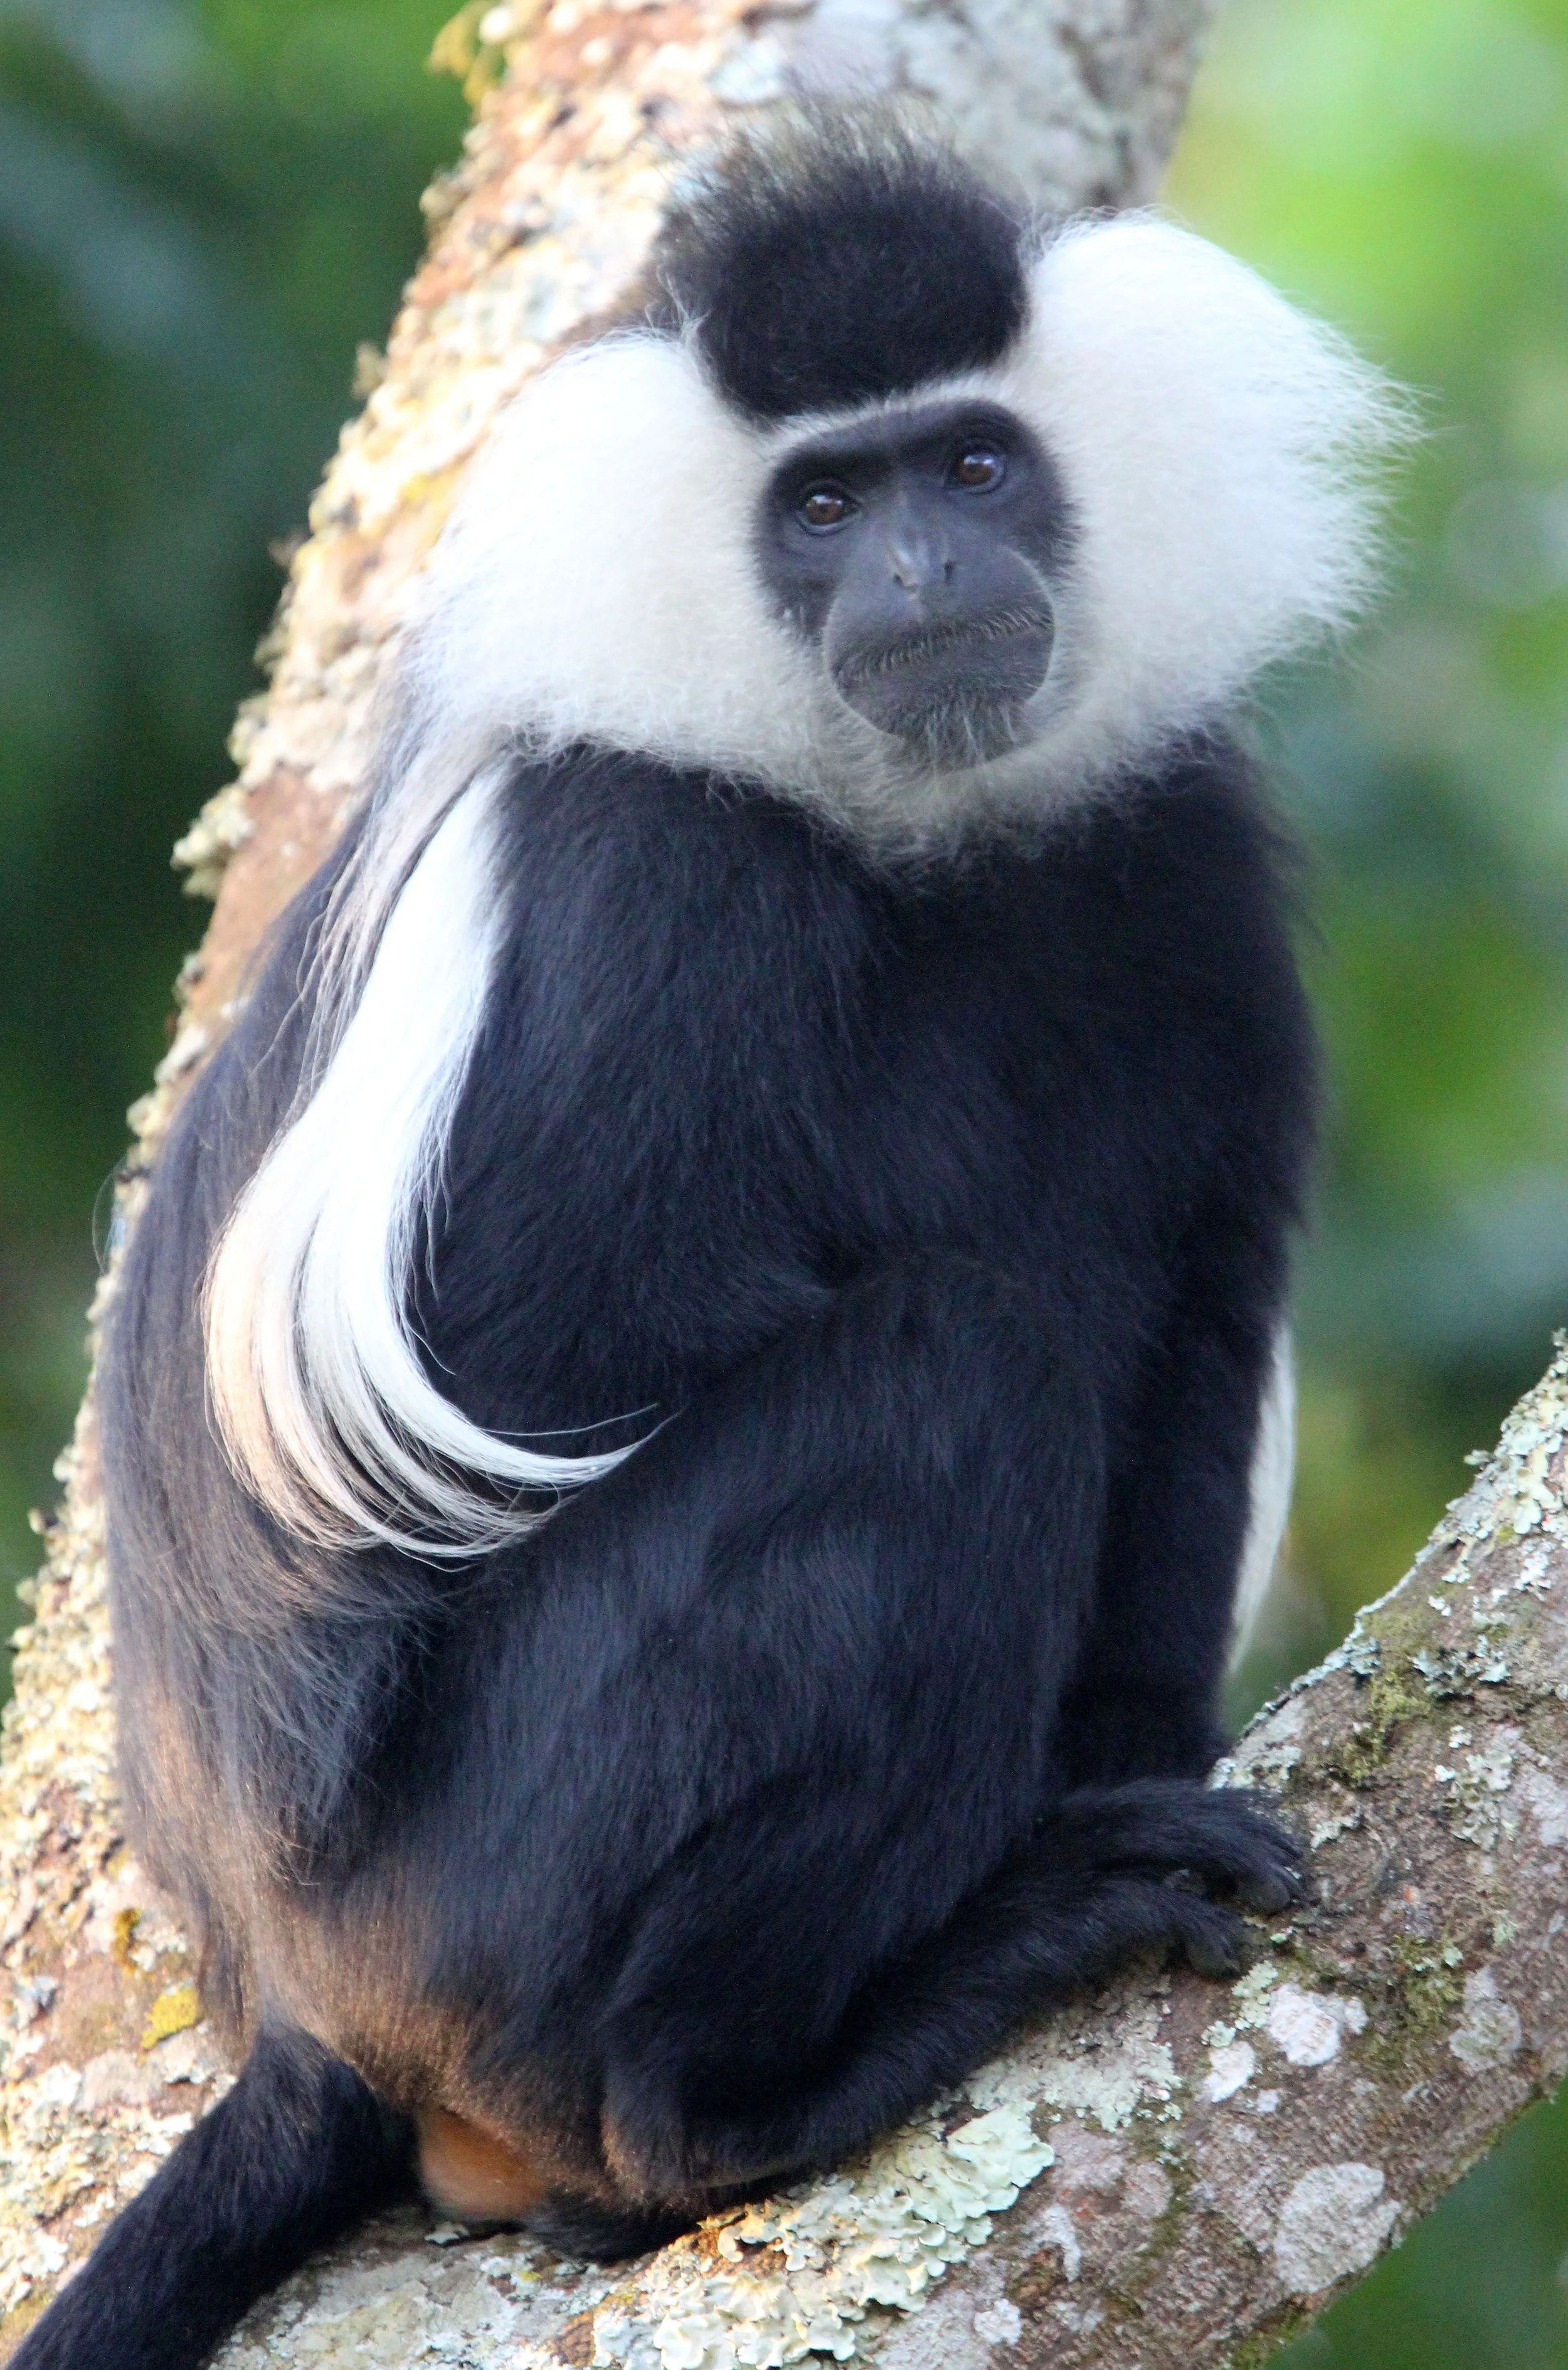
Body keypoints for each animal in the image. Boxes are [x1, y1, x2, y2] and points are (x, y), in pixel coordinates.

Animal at [14, 112, 1404, 2370]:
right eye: (825, 503)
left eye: (973, 467)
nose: (925, 574)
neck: (900, 830)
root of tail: (297, 2011)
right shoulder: (644, 879)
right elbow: (544, 1368)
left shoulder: (1175, 846)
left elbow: (1196, 1331)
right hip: (482, 1895)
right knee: (950, 1371)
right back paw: (752, 2087)